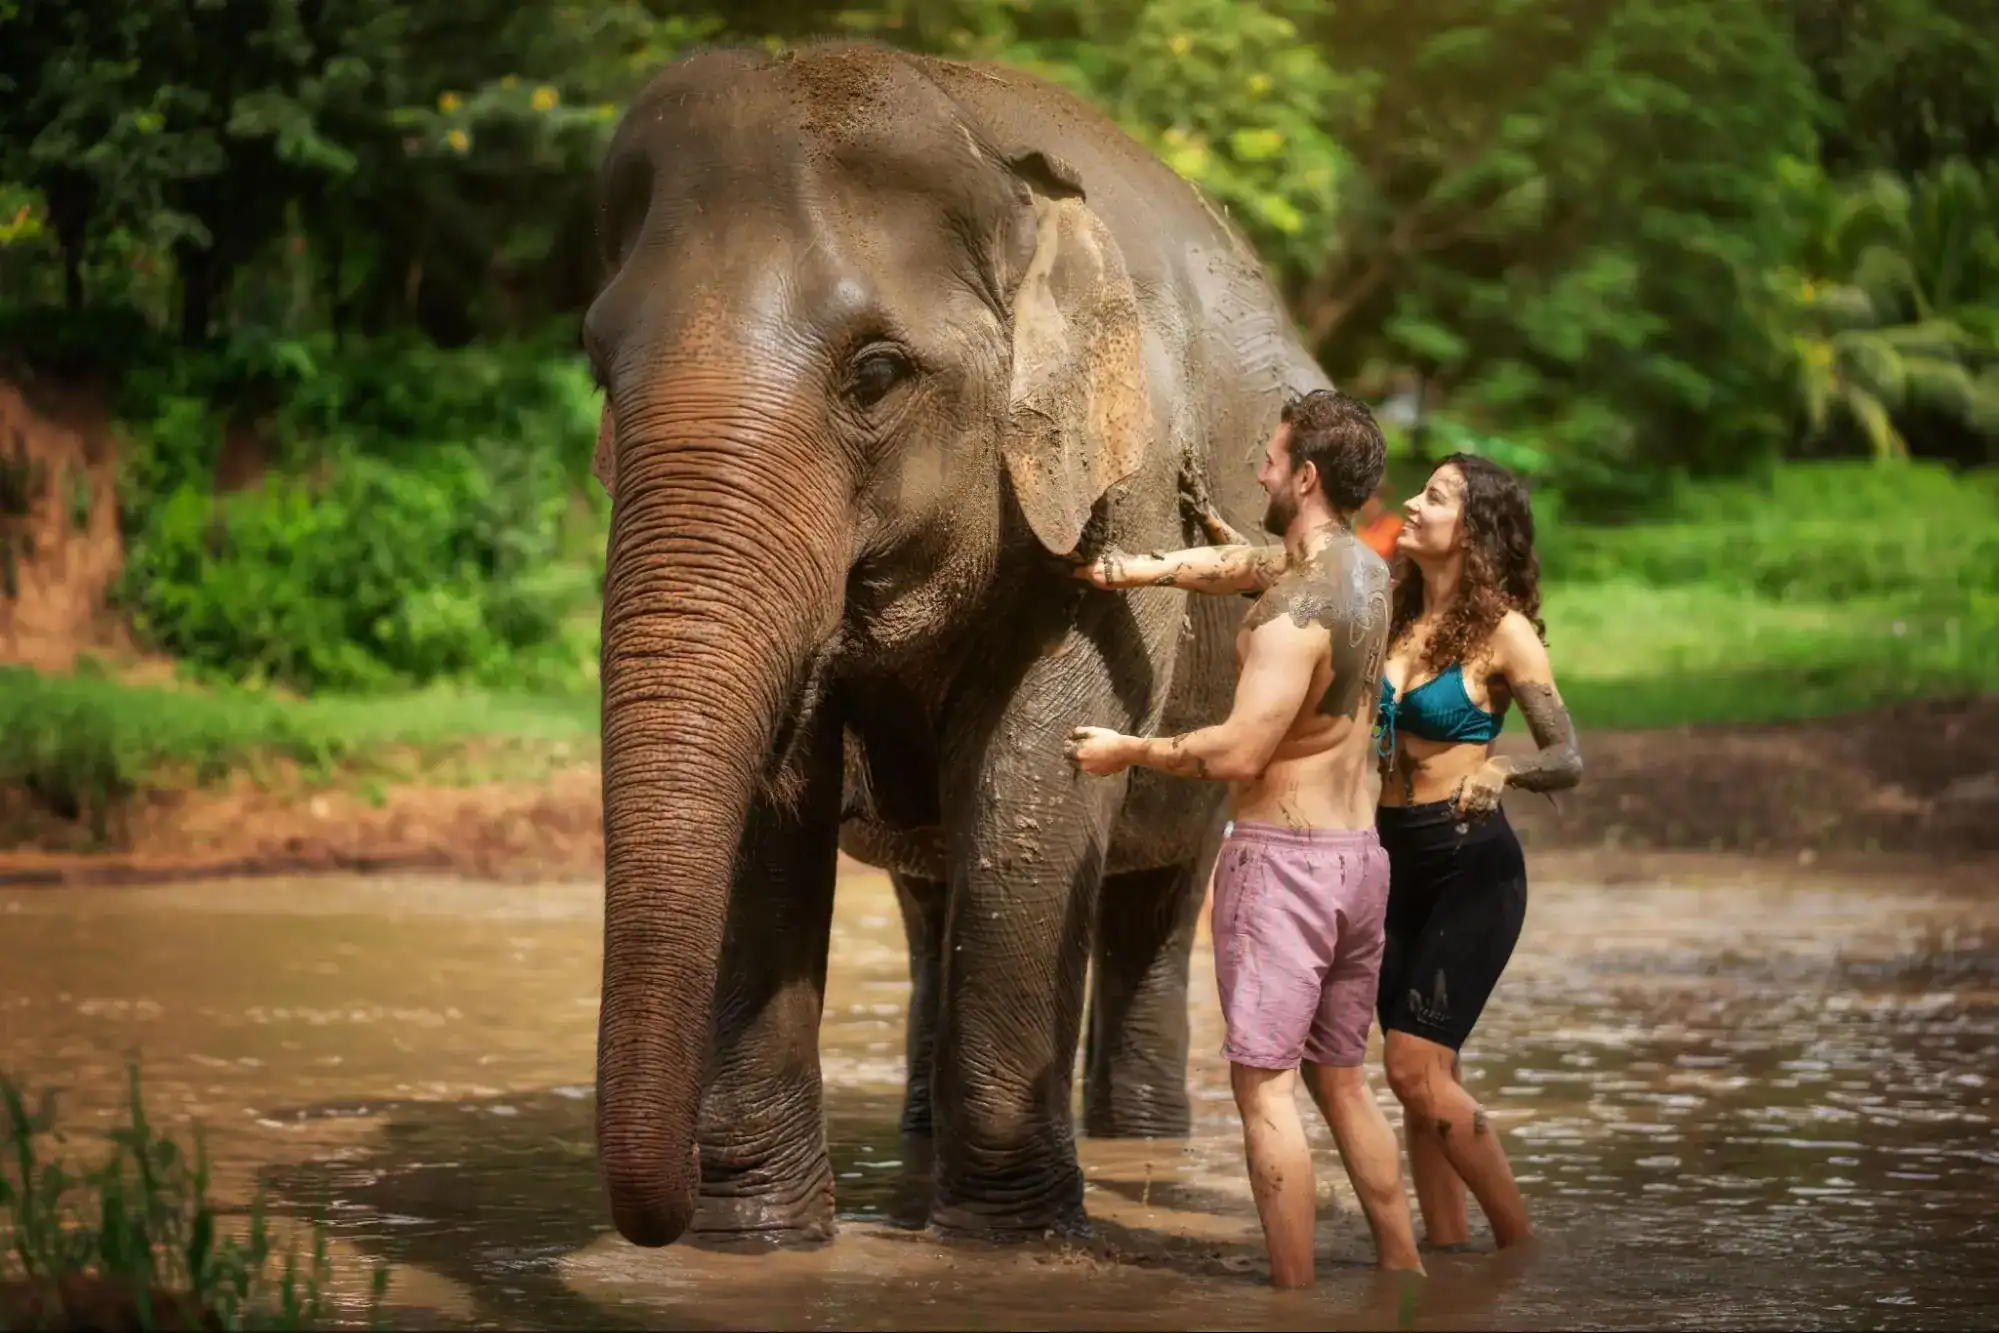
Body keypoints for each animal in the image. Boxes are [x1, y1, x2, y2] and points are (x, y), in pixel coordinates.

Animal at [584, 39, 1334, 1251]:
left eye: (875, 374)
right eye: (600, 368)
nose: (660, 1211)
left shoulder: (1122, 484)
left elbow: (1032, 772)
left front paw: (1010, 1243)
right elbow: (769, 797)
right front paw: (754, 1241)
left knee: (1159, 894)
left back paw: (1138, 1145)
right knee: (931, 895)